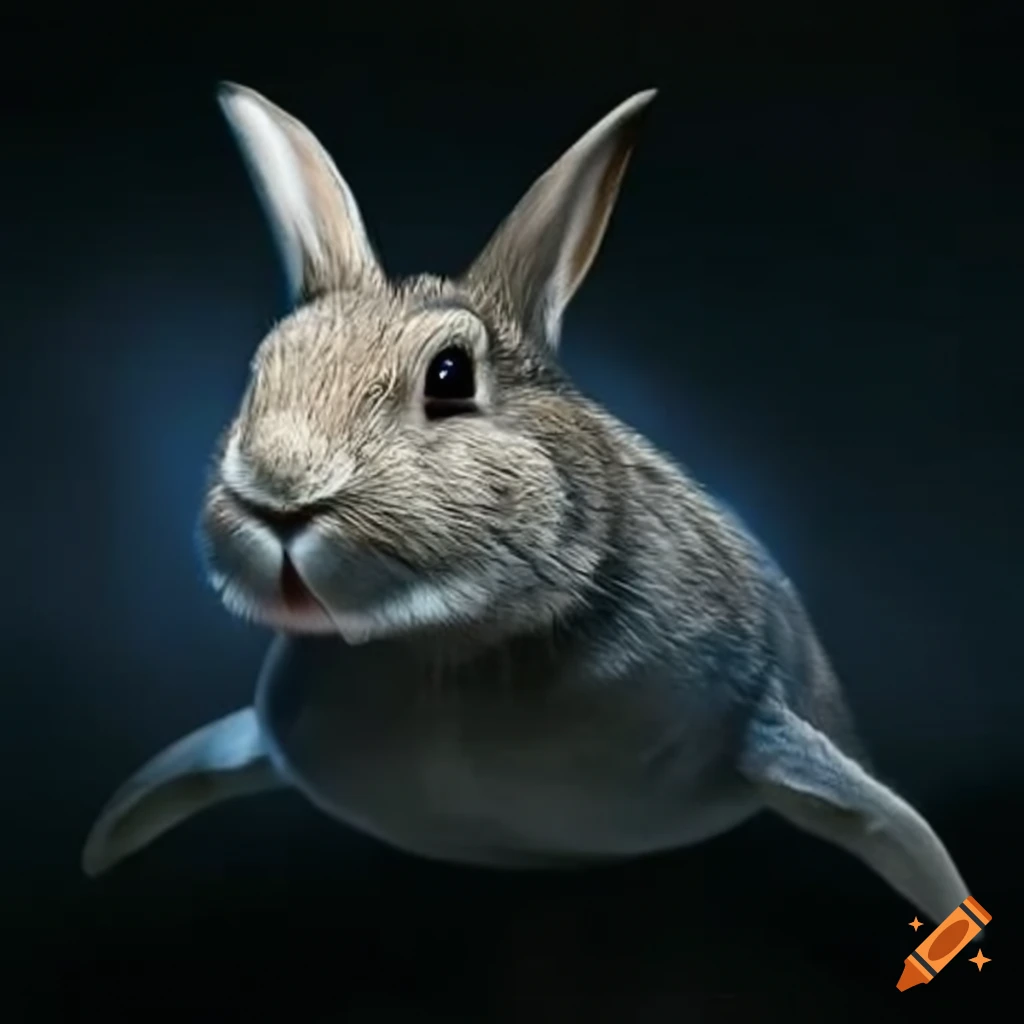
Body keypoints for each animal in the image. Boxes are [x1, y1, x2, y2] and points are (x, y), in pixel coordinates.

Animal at [82, 82, 971, 927]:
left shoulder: (757, 712)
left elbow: (885, 821)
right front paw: (104, 847)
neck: (444, 649)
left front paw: (950, 900)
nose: (278, 496)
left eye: (450, 376)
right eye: (262, 368)